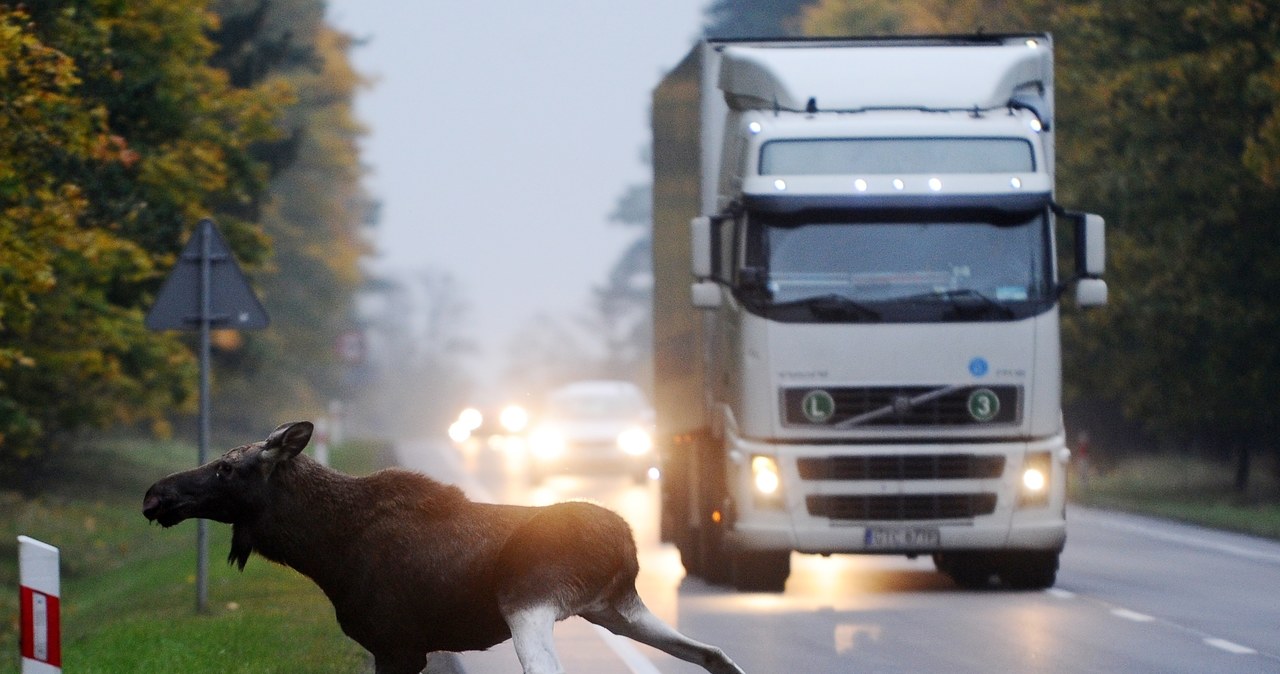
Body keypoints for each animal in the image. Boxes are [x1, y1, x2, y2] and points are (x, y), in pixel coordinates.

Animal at [142, 422, 742, 674]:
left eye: (226, 468)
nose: (155, 494)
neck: (322, 549)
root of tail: (625, 541)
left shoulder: (397, 645)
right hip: (616, 607)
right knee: (714, 655)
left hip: (530, 601)